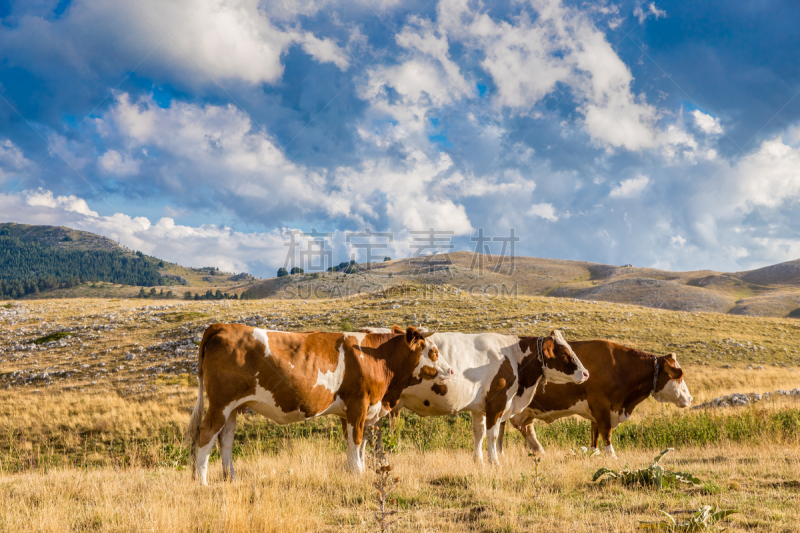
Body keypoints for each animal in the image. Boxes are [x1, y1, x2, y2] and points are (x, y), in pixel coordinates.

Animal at [184, 322, 454, 484]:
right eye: (433, 350)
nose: (451, 370)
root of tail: (223, 326)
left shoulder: (351, 411)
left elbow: (353, 442)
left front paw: (355, 470)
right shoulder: (359, 404)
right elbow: (357, 441)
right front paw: (358, 473)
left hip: (231, 407)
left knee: (225, 439)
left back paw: (231, 477)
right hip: (220, 403)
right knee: (206, 433)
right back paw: (202, 481)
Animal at [504, 340, 692, 458]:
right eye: (679, 378)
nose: (690, 399)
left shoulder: (597, 409)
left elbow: (595, 432)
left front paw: (594, 453)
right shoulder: (601, 405)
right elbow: (606, 431)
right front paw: (611, 455)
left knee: (528, 430)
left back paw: (540, 452)